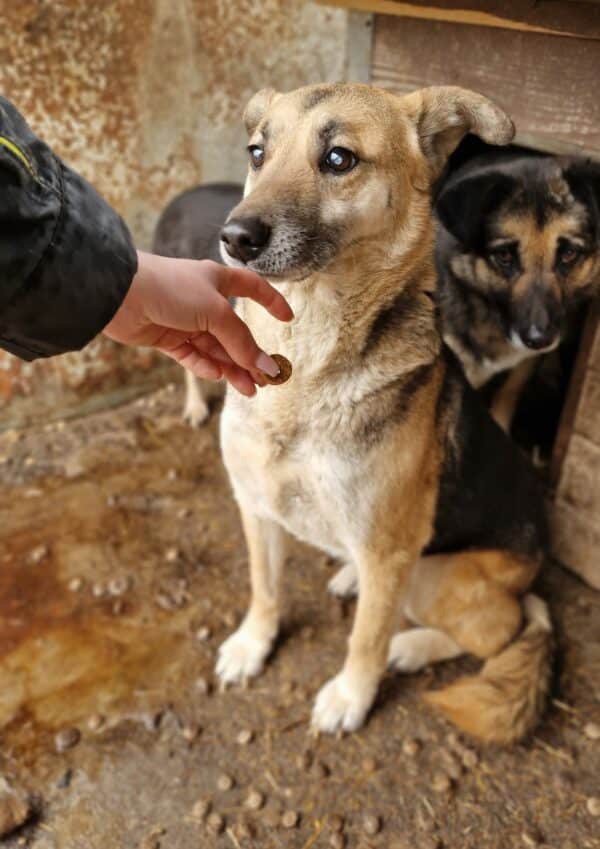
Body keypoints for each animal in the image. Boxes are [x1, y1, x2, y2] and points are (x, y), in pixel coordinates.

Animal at [213, 83, 552, 740]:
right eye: (258, 153)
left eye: (339, 159)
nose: (234, 237)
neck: (305, 365)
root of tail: (539, 557)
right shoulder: (255, 506)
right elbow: (264, 589)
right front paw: (251, 645)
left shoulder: (390, 551)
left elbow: (365, 638)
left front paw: (352, 696)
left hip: (429, 576)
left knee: (509, 626)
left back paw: (411, 646)